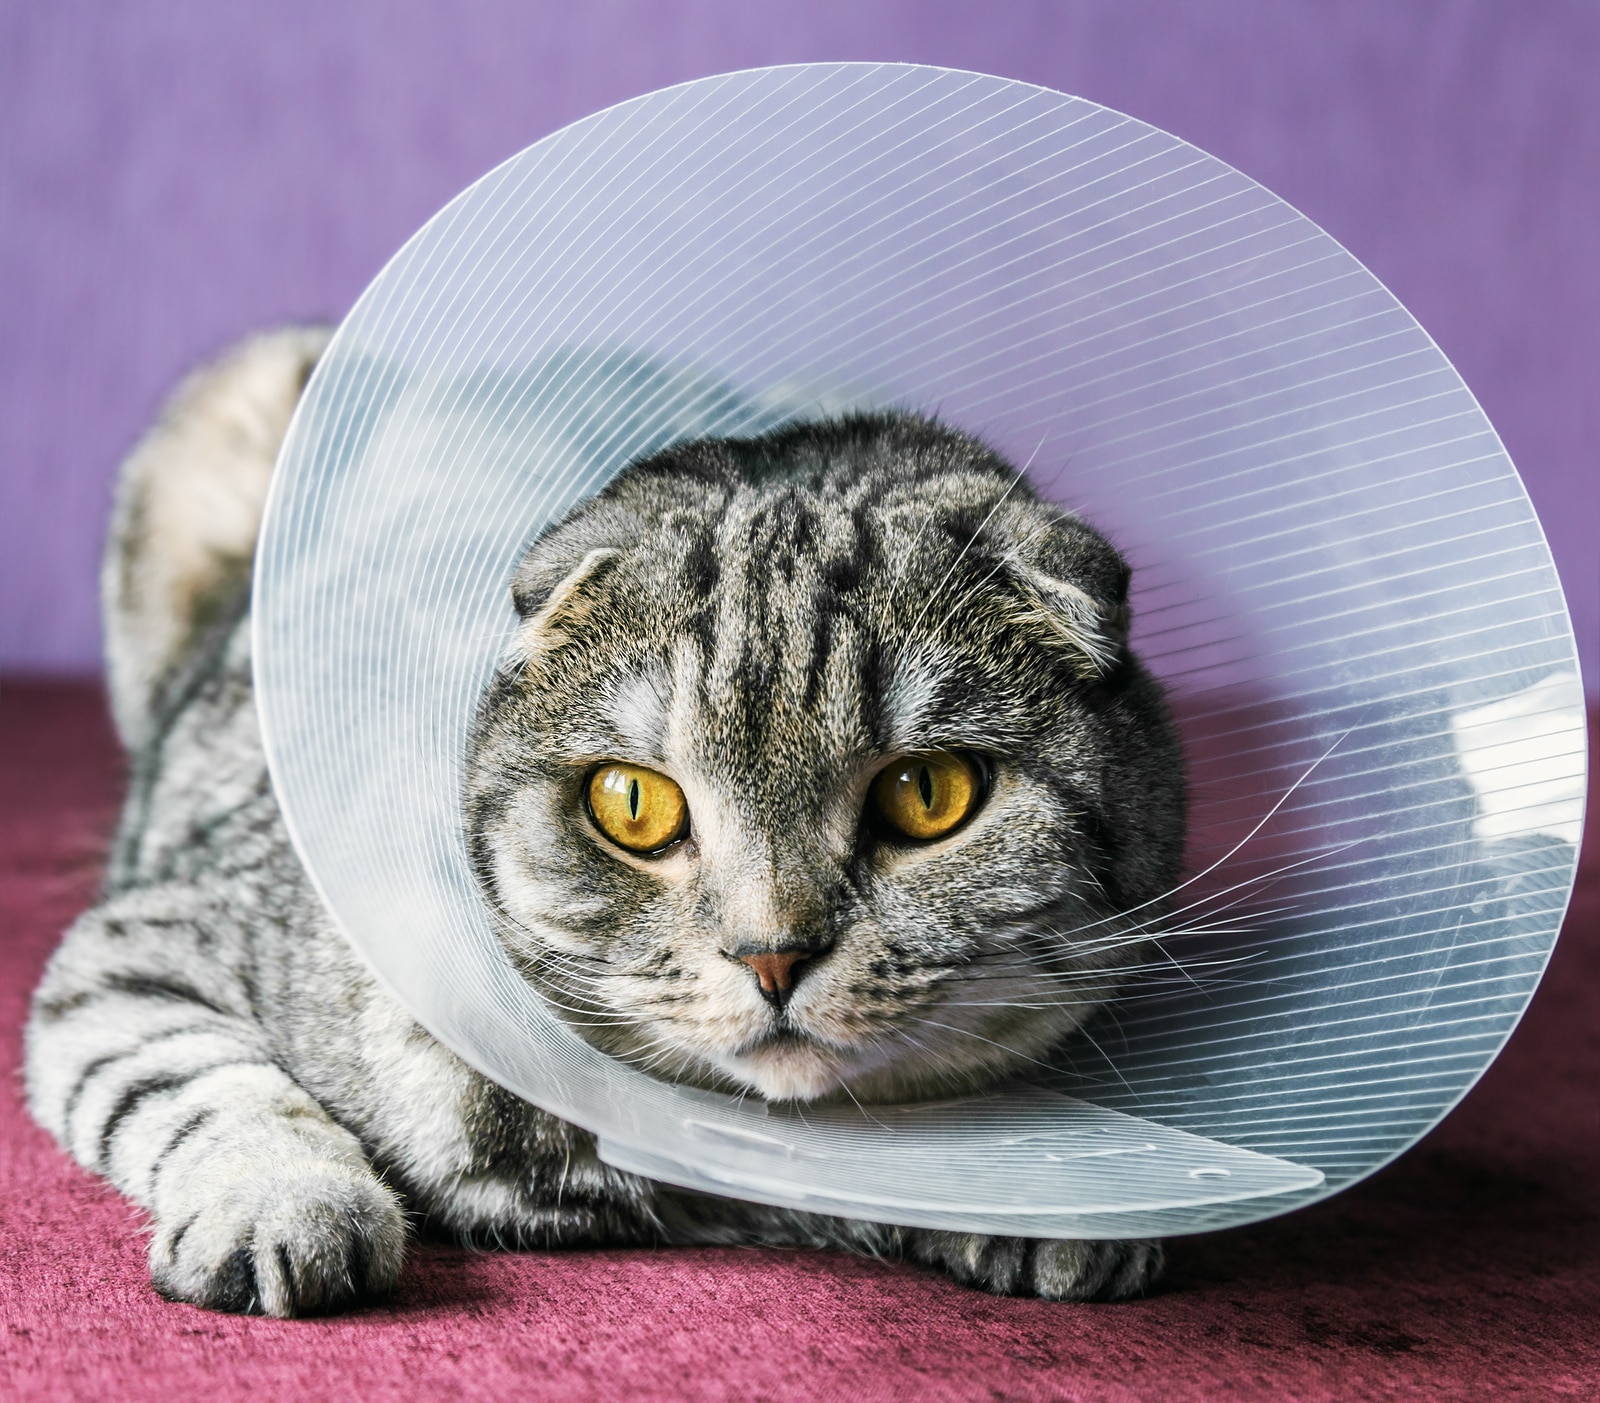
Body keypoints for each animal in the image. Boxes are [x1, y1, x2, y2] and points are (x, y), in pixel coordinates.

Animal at [18, 326, 1184, 1311]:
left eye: (926, 791)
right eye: (632, 803)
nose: (771, 954)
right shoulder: (145, 948)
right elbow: (212, 1084)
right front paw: (284, 1206)